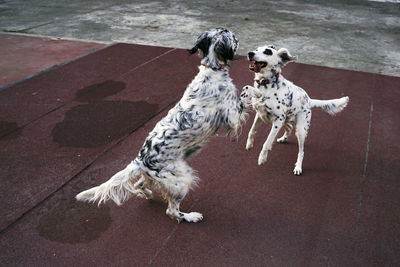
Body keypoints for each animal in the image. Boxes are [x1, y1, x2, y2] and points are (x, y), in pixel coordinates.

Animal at [74, 27, 244, 224]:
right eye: (233, 37)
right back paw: (191, 216)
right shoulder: (232, 116)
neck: (212, 69)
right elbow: (246, 97)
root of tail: (140, 161)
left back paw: (146, 193)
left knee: (139, 185)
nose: (239, 37)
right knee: (172, 211)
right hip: (181, 179)